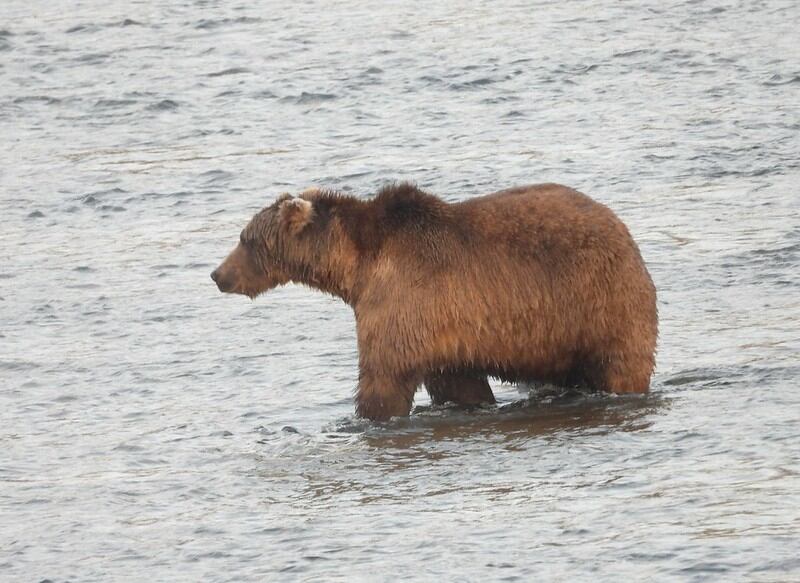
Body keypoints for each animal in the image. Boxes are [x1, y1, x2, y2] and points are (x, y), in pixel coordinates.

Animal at [211, 182, 658, 421]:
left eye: (246, 239)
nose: (218, 275)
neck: (356, 267)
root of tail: (622, 228)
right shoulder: (446, 333)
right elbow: (457, 384)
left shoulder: (401, 303)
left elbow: (383, 376)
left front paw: (367, 414)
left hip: (600, 302)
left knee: (620, 363)